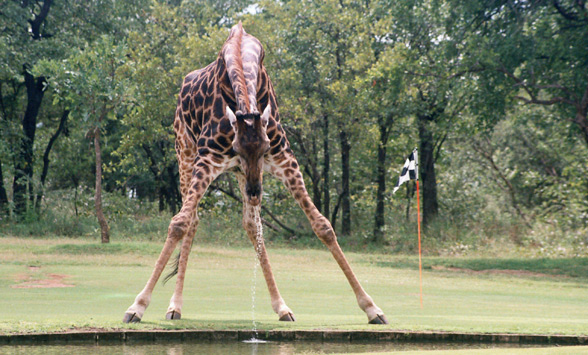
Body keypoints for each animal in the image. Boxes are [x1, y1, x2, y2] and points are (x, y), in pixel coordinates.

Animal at [123, 22, 390, 326]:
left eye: (264, 148)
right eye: (236, 147)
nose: (254, 190)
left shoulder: (283, 159)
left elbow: (323, 226)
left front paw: (371, 307)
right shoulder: (208, 159)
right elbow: (178, 223)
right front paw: (137, 306)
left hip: (239, 173)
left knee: (252, 225)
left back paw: (282, 306)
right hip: (185, 153)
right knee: (192, 221)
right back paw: (175, 306)